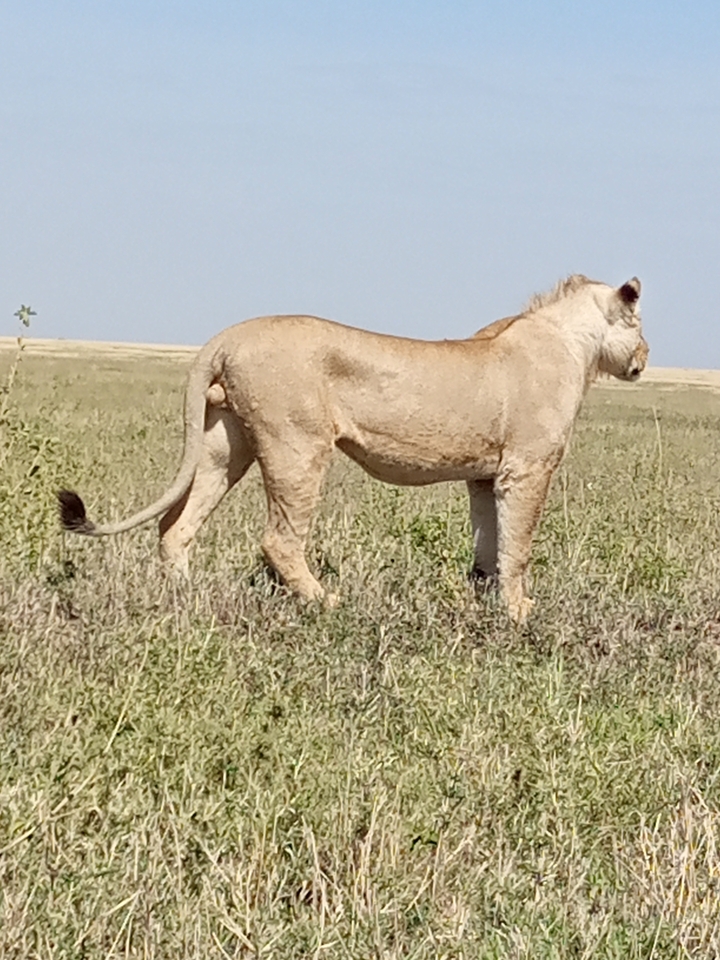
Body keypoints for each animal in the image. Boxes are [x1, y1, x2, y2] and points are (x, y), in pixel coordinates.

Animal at [58, 274, 648, 622]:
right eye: (641, 321)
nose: (646, 356)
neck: (577, 346)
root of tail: (225, 336)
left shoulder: (484, 475)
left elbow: (487, 545)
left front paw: (481, 600)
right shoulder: (528, 468)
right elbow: (517, 544)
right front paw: (520, 610)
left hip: (227, 445)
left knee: (175, 526)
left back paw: (187, 598)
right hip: (296, 444)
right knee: (278, 540)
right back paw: (324, 601)